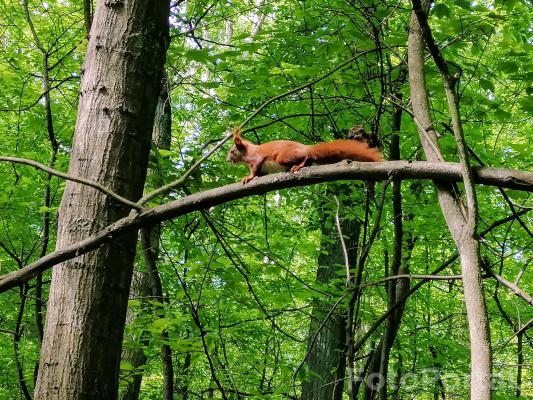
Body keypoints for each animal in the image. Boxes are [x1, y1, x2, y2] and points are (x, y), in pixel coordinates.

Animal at [225, 129, 382, 184]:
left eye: (232, 151)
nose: (227, 160)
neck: (248, 153)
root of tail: (307, 147)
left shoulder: (257, 157)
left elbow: (255, 168)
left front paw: (249, 177)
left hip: (284, 156)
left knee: (306, 156)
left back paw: (299, 165)